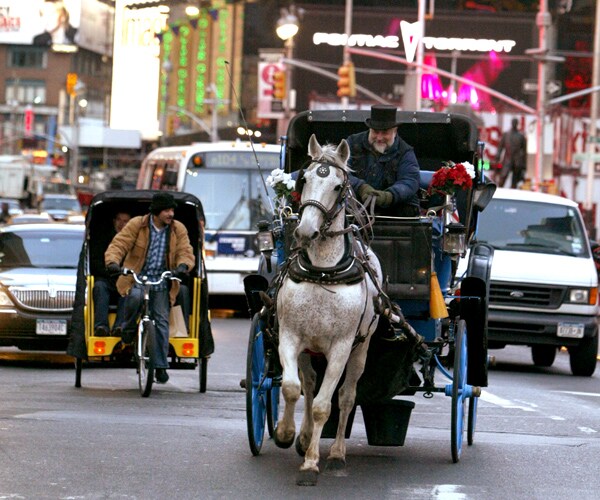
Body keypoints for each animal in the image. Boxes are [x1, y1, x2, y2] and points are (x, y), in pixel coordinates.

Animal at [274, 135, 382, 486]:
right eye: (304, 179)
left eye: (337, 186)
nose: (305, 231)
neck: (323, 272)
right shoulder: (289, 336)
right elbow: (292, 388)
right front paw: (287, 433)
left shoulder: (341, 347)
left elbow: (325, 405)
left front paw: (311, 464)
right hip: (309, 349)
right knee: (308, 384)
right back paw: (305, 436)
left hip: (361, 348)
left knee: (347, 396)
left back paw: (335, 454)